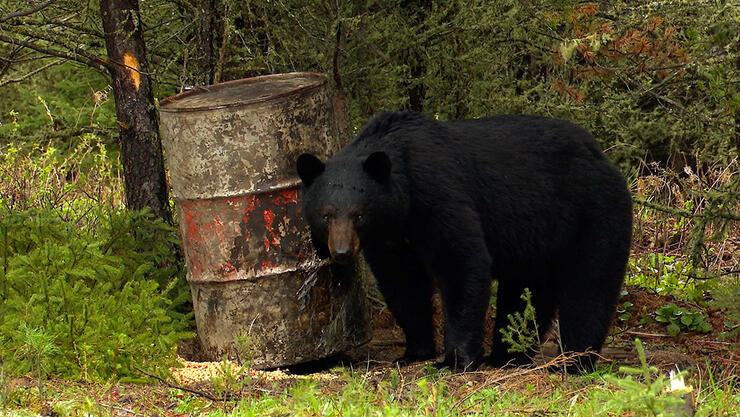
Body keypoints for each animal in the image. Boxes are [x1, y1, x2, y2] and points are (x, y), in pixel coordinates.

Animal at [294, 110, 632, 370]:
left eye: (359, 215)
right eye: (326, 215)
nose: (341, 251)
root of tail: (603, 158)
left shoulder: (436, 193)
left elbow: (460, 262)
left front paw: (455, 359)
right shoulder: (390, 238)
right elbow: (403, 283)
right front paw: (413, 352)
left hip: (593, 213)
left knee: (588, 287)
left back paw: (573, 361)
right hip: (537, 239)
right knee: (527, 293)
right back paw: (508, 356)